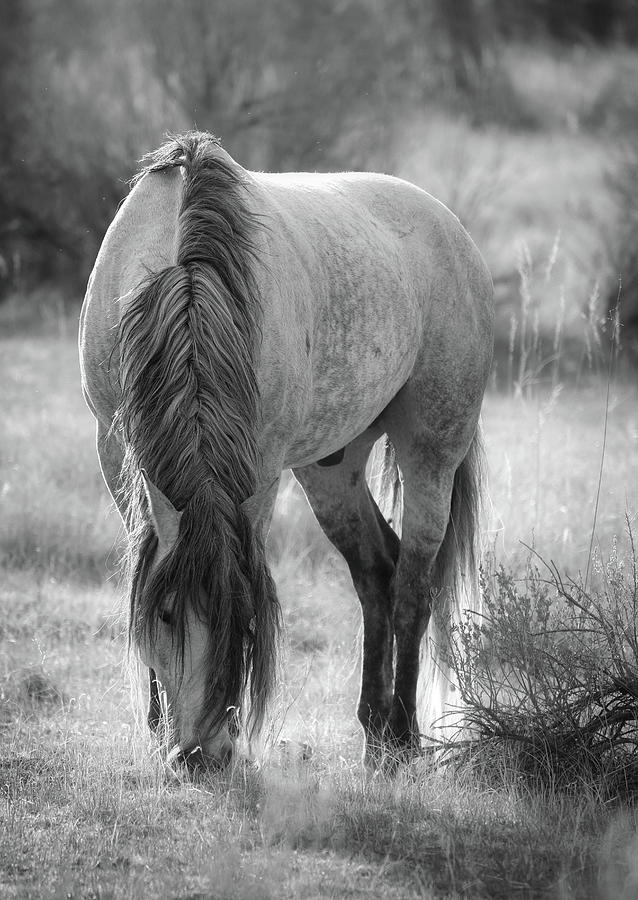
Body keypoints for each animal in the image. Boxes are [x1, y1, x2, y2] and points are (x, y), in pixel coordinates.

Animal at [79, 131, 493, 770]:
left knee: (412, 586)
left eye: (242, 620)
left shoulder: (262, 471)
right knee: (376, 574)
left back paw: (401, 738)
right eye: (168, 615)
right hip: (332, 468)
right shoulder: (114, 448)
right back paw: (373, 732)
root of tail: (448, 225)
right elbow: (145, 566)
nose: (199, 755)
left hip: (430, 450)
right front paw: (153, 725)